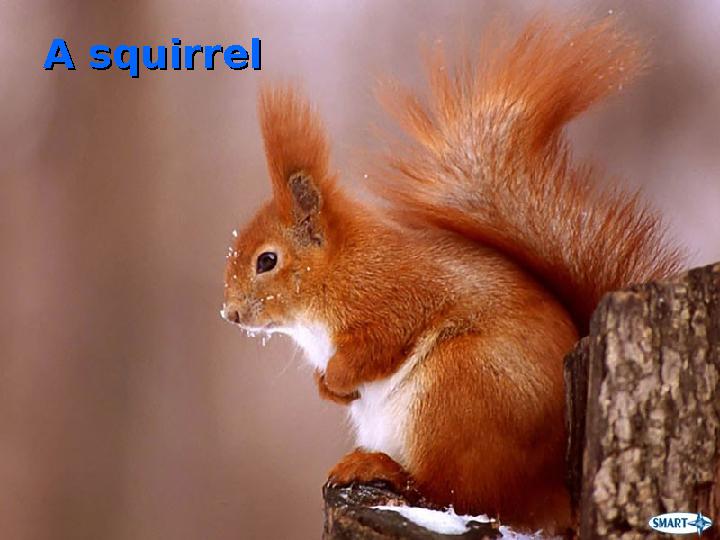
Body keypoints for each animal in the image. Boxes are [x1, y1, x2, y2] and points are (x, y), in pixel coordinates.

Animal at [221, 17, 682, 532]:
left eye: (266, 260)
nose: (230, 313)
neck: (338, 271)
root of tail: (555, 491)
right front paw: (328, 388)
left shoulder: (394, 296)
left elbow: (377, 344)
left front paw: (337, 378)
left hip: (457, 390)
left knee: (456, 491)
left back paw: (380, 468)